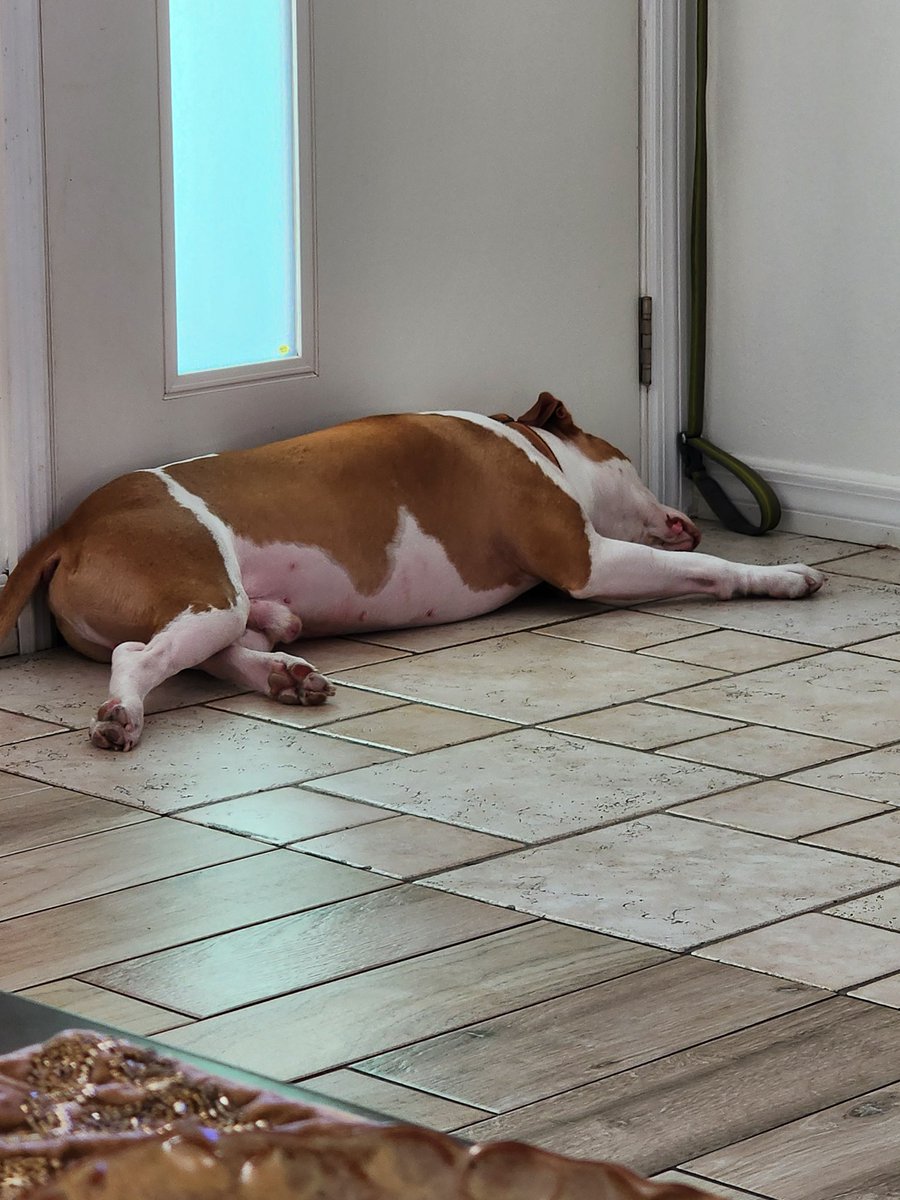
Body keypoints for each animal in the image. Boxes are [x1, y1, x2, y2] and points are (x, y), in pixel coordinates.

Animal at [0, 396, 825, 748]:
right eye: (626, 454)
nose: (678, 508)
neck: (531, 444)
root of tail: (69, 527)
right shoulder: (585, 562)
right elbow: (709, 565)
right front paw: (782, 575)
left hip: (218, 609)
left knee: (218, 649)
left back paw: (286, 676)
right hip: (203, 592)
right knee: (138, 655)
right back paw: (122, 717)